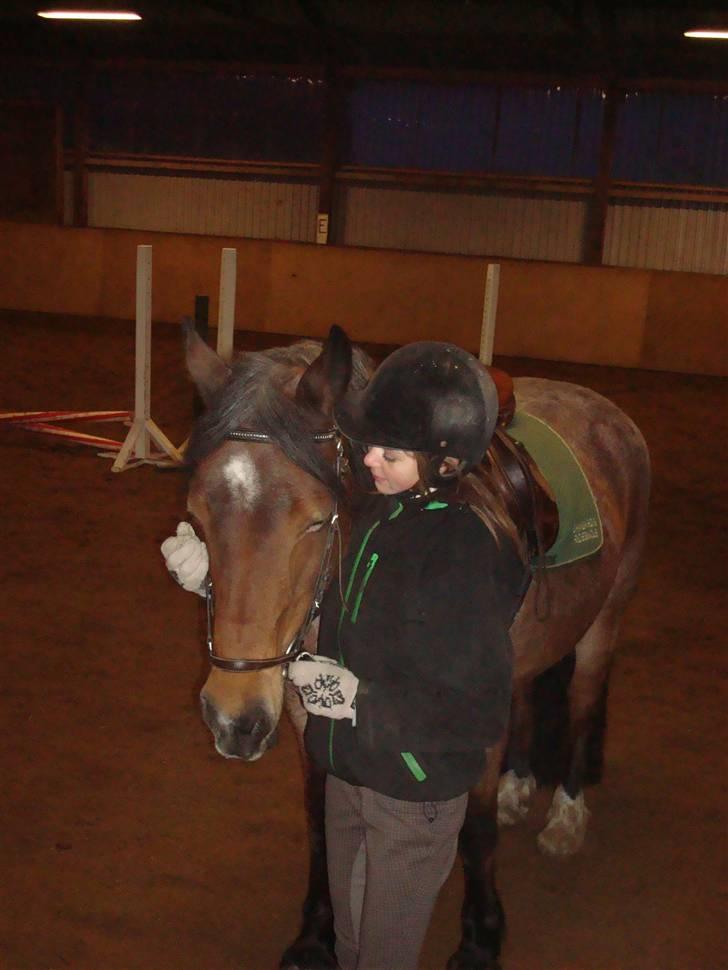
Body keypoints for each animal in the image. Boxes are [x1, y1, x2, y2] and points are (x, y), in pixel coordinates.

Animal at [181, 324, 648, 968]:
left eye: (313, 520)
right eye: (198, 516)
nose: (234, 718)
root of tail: (604, 410)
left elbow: (475, 830)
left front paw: (480, 939)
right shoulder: (304, 717)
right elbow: (320, 822)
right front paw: (315, 935)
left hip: (605, 619)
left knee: (580, 704)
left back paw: (566, 816)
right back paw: (520, 786)